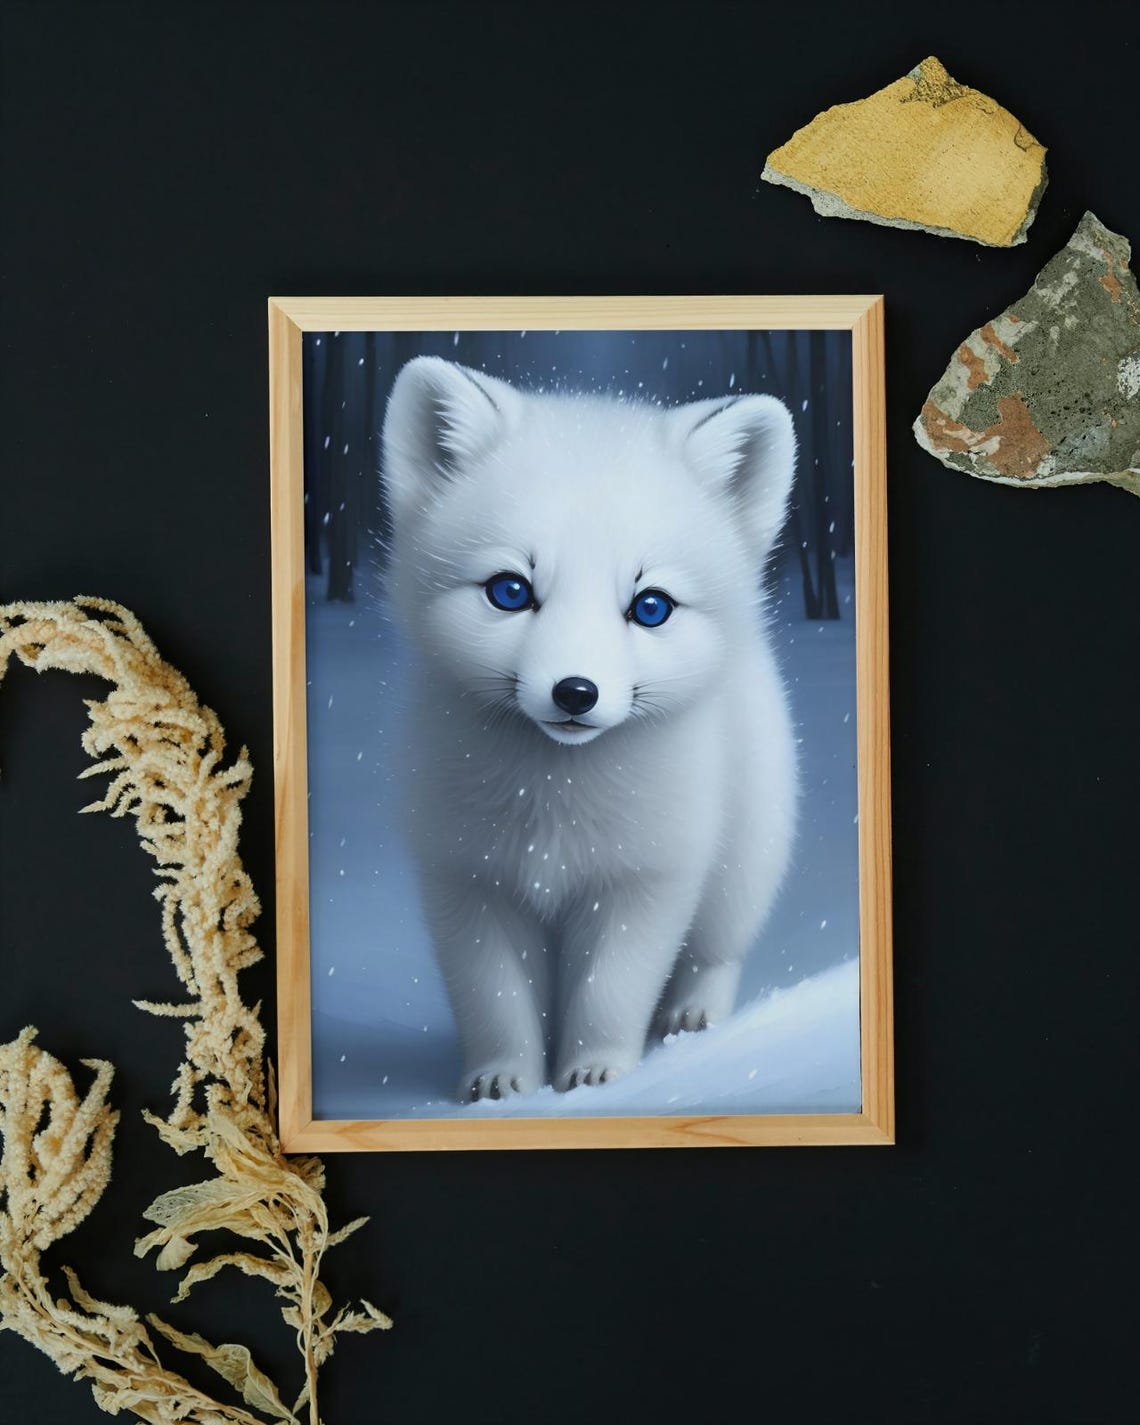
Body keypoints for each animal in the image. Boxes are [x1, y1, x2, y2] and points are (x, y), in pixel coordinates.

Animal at [382, 356, 797, 1101]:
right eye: (510, 591)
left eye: (651, 606)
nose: (575, 692)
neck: (554, 804)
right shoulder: (468, 878)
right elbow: (493, 1000)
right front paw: (503, 1086)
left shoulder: (645, 877)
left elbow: (611, 991)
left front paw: (596, 1078)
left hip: (744, 863)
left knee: (715, 953)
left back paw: (695, 1019)